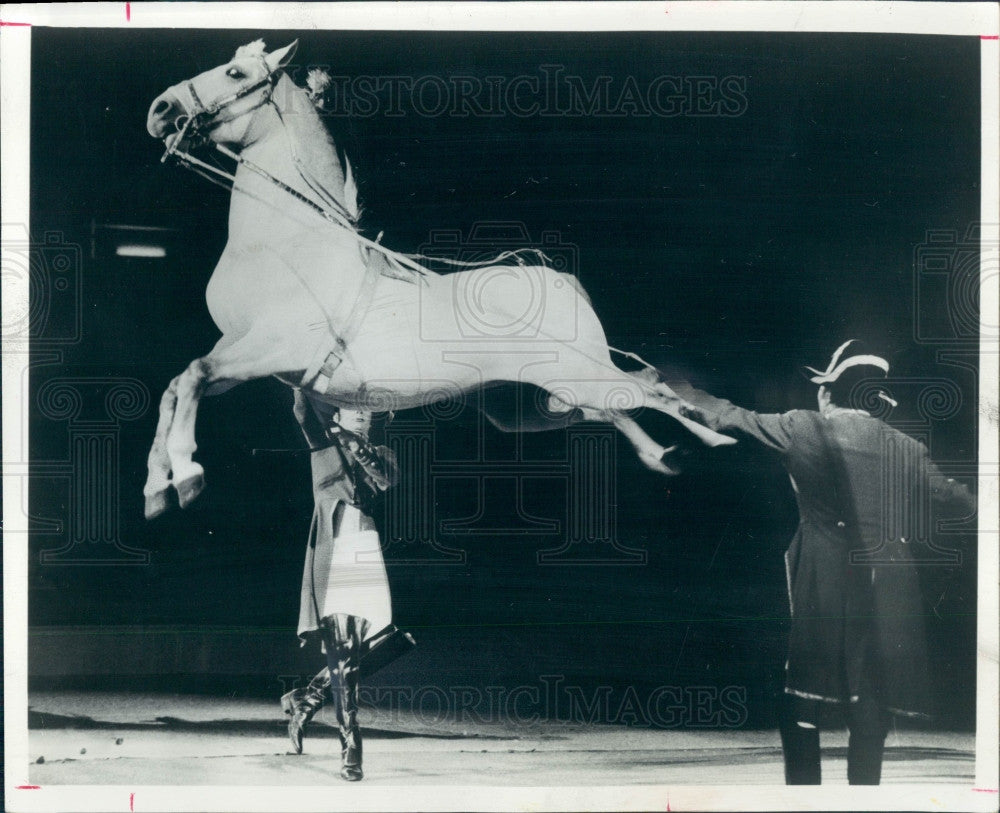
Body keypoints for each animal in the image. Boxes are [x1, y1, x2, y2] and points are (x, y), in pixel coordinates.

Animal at [141, 38, 736, 516]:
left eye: (235, 74)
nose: (160, 108)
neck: (287, 243)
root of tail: (560, 281)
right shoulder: (239, 349)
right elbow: (177, 386)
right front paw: (157, 487)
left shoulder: (275, 348)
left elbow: (192, 375)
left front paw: (188, 473)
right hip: (532, 405)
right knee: (617, 408)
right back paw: (664, 454)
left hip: (579, 373)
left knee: (652, 389)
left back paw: (709, 436)